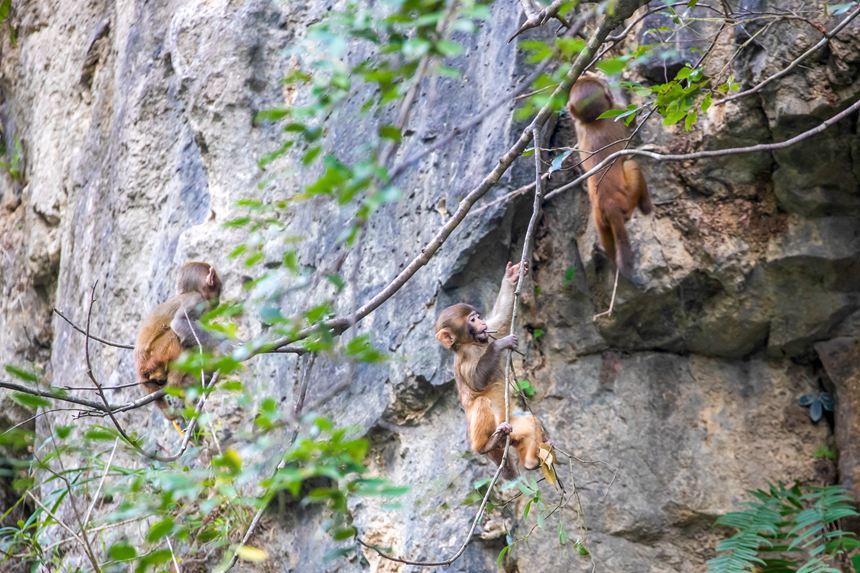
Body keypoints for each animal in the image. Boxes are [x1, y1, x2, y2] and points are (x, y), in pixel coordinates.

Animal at [134, 262, 222, 426]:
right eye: (218, 288)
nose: (218, 301)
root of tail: (140, 369)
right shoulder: (197, 300)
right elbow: (179, 323)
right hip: (156, 355)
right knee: (175, 337)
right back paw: (176, 383)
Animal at [436, 262, 544, 478]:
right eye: (472, 320)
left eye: (478, 317)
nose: (481, 322)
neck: (472, 344)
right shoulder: (465, 359)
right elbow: (477, 383)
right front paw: (499, 345)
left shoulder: (486, 334)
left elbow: (500, 319)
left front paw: (511, 277)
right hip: (483, 430)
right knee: (481, 403)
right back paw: (486, 445)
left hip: (511, 427)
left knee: (529, 423)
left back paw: (529, 461)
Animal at [568, 72, 656, 278]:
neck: (593, 120)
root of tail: (610, 205)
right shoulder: (616, 111)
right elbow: (629, 117)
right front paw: (616, 82)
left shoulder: (578, 126)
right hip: (627, 199)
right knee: (631, 164)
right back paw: (647, 207)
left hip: (599, 220)